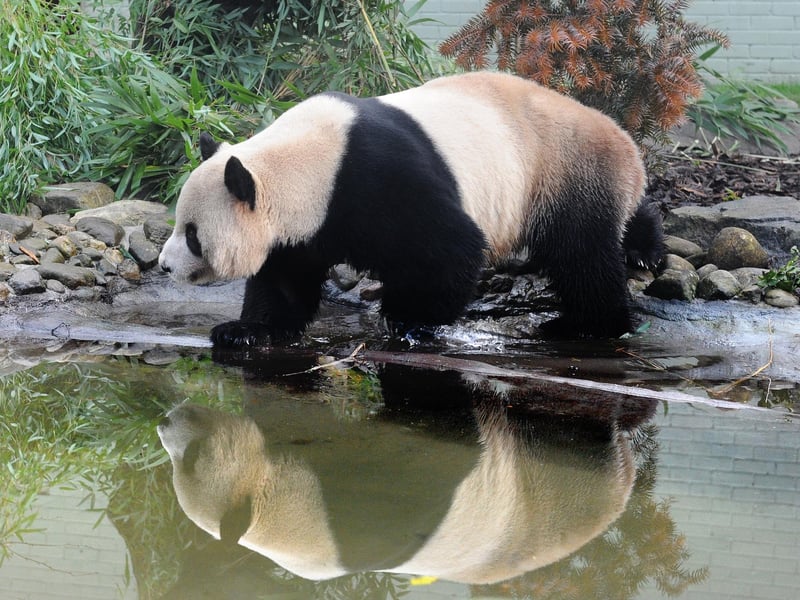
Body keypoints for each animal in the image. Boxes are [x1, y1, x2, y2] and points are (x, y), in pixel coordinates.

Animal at [158, 71, 663, 347]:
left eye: (192, 234)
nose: (163, 266)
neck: (307, 163)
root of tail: (623, 140)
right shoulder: (304, 224)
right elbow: (283, 283)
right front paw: (243, 331)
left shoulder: (379, 179)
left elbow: (452, 250)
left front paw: (409, 321)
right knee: (618, 223)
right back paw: (643, 249)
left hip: (561, 169)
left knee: (583, 255)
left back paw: (589, 325)